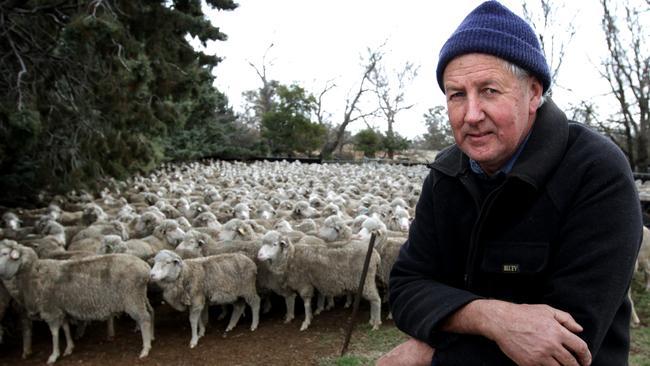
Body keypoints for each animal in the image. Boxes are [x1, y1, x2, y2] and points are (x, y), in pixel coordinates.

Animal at [0, 240, 153, 364]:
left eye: (4, 253)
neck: (31, 274)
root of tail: (144, 266)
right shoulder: (60, 308)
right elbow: (65, 327)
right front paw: (69, 348)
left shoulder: (51, 310)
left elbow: (54, 333)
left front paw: (54, 355)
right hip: (139, 297)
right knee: (149, 314)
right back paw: (150, 339)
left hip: (132, 298)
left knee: (144, 319)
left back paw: (145, 349)